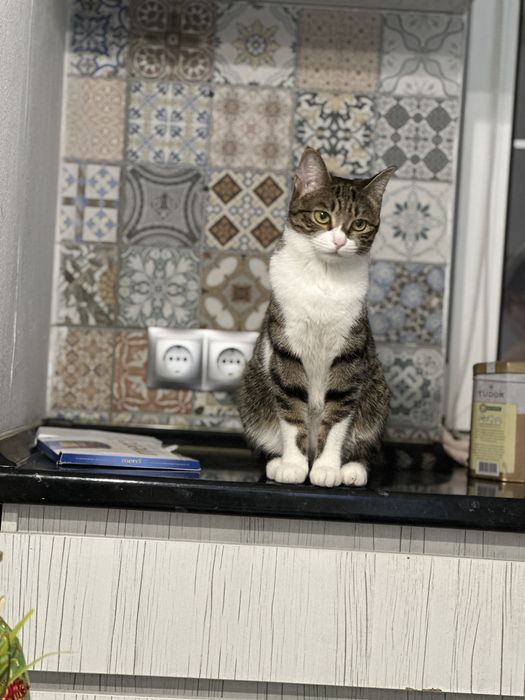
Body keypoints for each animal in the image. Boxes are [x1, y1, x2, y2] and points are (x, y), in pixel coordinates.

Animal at [237, 147, 395, 488]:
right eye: (323, 216)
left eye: (359, 224)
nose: (338, 241)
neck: (323, 277)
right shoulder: (285, 344)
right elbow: (291, 404)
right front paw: (294, 466)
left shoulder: (350, 350)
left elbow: (338, 413)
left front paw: (326, 468)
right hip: (250, 392)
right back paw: (276, 462)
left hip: (377, 389)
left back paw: (352, 469)